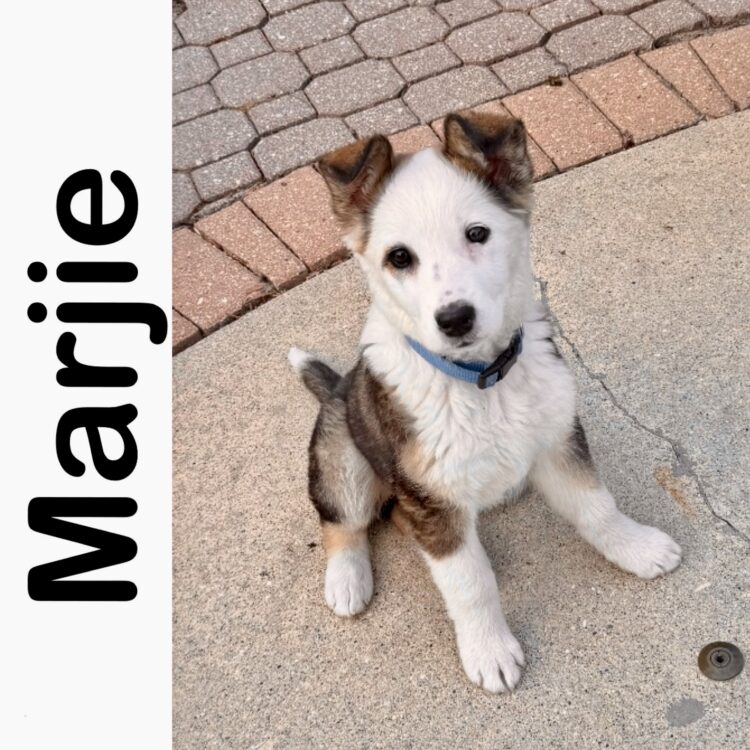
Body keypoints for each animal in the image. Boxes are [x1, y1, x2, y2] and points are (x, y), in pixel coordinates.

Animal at [289, 111, 681, 693]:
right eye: (399, 258)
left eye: (478, 234)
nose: (455, 319)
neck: (482, 381)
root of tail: (337, 389)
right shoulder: (430, 497)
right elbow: (469, 582)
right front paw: (489, 649)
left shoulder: (558, 439)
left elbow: (597, 507)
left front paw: (636, 547)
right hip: (343, 451)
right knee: (345, 519)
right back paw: (347, 578)